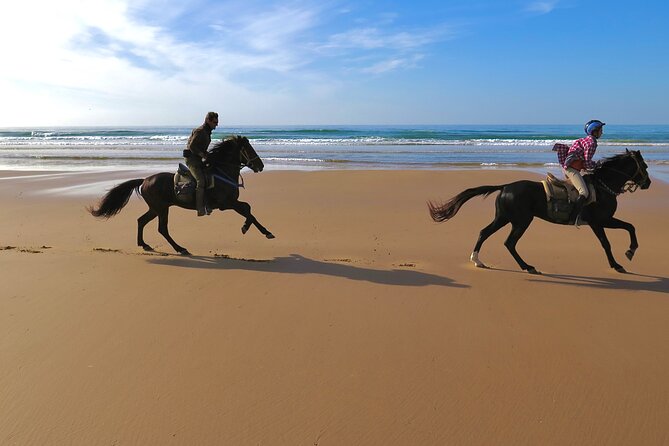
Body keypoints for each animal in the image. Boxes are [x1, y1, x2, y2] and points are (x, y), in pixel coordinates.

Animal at [89, 135, 274, 254]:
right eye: (248, 149)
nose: (261, 165)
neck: (223, 171)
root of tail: (145, 180)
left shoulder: (231, 203)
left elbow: (248, 209)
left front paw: (257, 229)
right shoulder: (226, 203)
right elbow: (248, 210)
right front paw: (254, 229)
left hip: (156, 208)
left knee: (141, 221)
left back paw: (144, 244)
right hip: (162, 209)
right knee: (162, 228)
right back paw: (180, 248)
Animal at [428, 150, 652, 276]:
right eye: (644, 165)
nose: (648, 183)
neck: (603, 186)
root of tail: (505, 186)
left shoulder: (602, 221)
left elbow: (626, 229)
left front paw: (626, 255)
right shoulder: (601, 221)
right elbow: (614, 238)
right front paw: (624, 258)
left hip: (505, 218)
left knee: (485, 233)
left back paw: (478, 261)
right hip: (521, 221)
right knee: (509, 242)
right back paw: (528, 267)